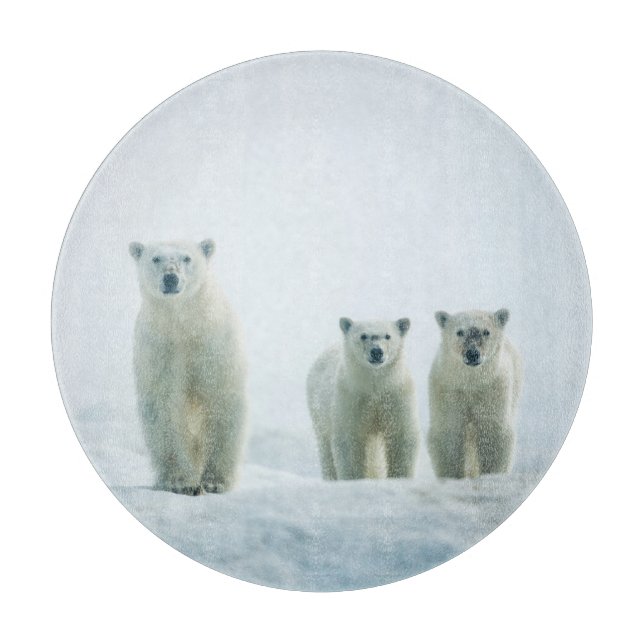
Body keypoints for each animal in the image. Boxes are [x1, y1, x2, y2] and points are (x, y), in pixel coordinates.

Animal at [129, 238, 247, 495]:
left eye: (187, 258)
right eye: (156, 258)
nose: (170, 278)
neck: (183, 324)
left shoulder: (212, 346)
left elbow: (221, 401)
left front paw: (214, 481)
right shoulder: (161, 351)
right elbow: (165, 409)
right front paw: (181, 481)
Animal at [306, 317, 419, 480]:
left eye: (388, 336)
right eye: (363, 336)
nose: (377, 352)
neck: (374, 386)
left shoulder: (396, 395)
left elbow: (401, 436)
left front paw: (399, 477)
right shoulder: (351, 396)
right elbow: (349, 440)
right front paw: (353, 478)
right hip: (318, 411)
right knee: (325, 446)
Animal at [427, 308, 522, 479]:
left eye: (486, 332)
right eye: (459, 332)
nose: (472, 353)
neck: (471, 383)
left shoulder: (492, 390)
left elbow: (491, 432)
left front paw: (490, 475)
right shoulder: (449, 390)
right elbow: (449, 431)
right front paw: (453, 475)